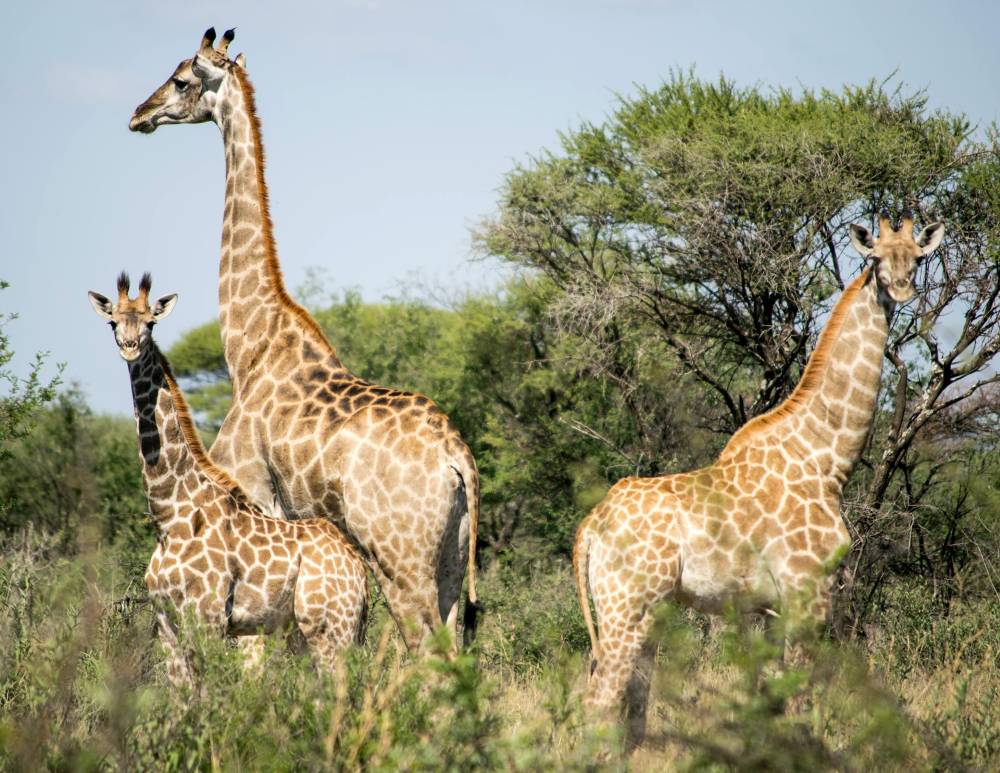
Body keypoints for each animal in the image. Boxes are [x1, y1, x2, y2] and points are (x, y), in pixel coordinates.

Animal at [88, 272, 368, 682]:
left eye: (151, 322)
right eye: (112, 321)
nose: (129, 346)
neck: (169, 514)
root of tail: (359, 570)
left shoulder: (209, 617)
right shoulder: (166, 622)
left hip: (330, 627)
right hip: (311, 630)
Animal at [128, 28, 480, 650]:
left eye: (182, 79)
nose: (139, 114)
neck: (247, 344)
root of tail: (455, 457)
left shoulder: (252, 491)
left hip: (400, 558)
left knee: (425, 647)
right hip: (452, 559)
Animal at [573, 213, 945, 736]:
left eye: (918, 257)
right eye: (874, 258)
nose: (902, 288)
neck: (826, 460)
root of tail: (592, 525)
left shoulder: (770, 607)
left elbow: (773, 699)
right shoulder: (807, 591)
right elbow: (801, 700)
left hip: (642, 609)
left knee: (626, 705)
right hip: (629, 605)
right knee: (600, 702)